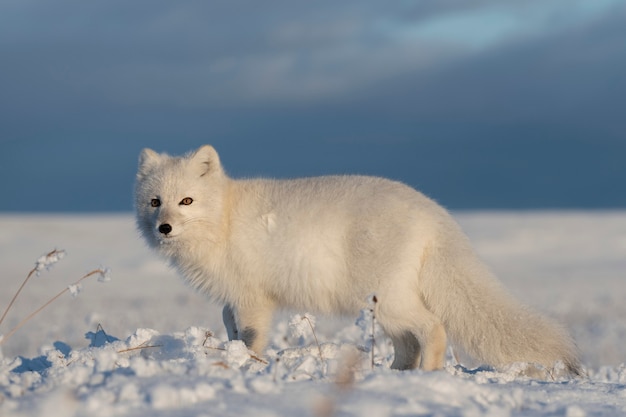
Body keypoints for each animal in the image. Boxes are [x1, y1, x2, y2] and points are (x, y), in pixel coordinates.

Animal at [135, 145, 580, 376]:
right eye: (155, 202)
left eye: (187, 201)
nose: (164, 228)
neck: (224, 220)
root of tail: (434, 212)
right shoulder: (232, 300)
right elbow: (229, 329)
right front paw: (231, 355)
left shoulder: (253, 299)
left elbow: (251, 338)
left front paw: (250, 364)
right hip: (379, 304)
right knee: (408, 342)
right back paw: (393, 375)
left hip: (386, 297)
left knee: (432, 328)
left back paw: (425, 375)